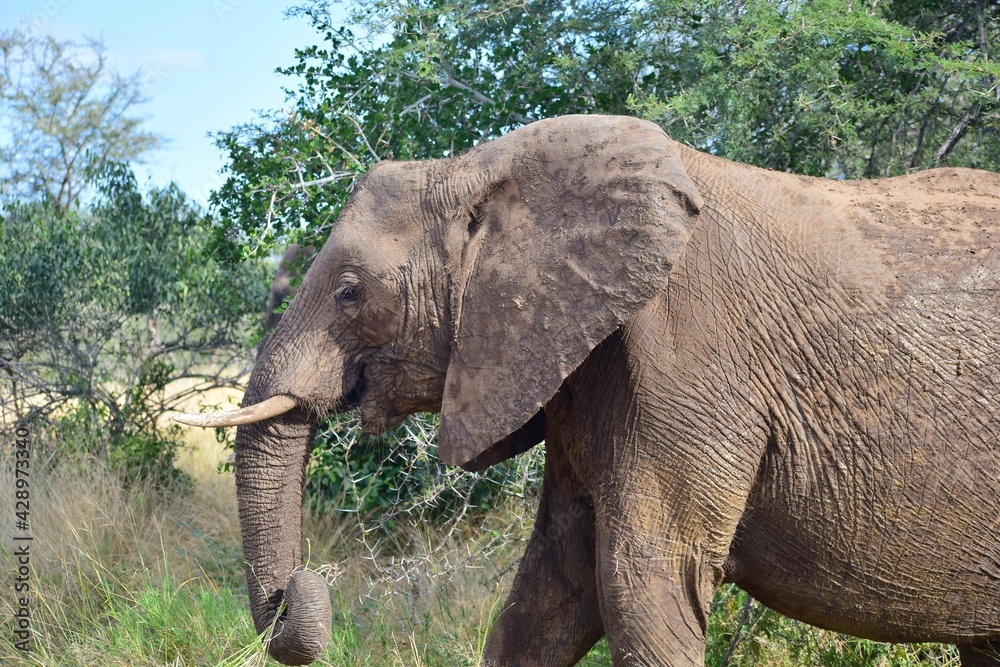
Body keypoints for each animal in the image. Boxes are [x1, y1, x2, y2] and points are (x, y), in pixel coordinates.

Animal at [176, 116, 1000, 667]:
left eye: (350, 291)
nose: (304, 584)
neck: (483, 170)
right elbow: (549, 591)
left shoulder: (689, 365)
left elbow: (639, 588)